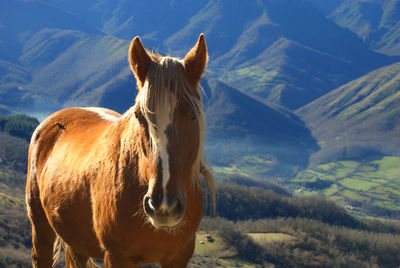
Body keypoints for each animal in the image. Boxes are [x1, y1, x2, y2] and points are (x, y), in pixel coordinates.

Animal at [25, 34, 216, 268]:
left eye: (192, 116)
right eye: (140, 117)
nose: (163, 205)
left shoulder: (178, 258)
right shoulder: (117, 256)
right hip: (41, 227)